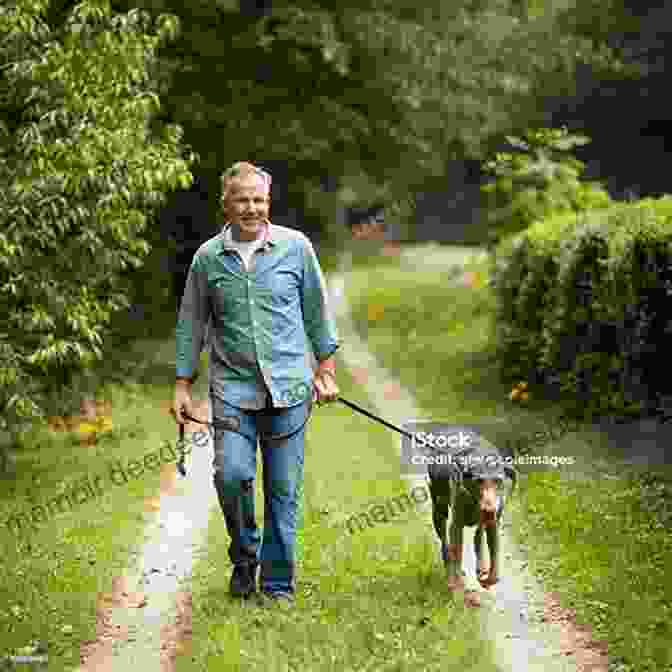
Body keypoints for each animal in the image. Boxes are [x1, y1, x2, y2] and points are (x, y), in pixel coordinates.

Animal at [428, 440, 516, 604]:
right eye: (478, 481)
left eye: (498, 481)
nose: (489, 510)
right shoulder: (456, 525)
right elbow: (456, 554)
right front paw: (457, 585)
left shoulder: (493, 524)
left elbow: (495, 571)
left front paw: (487, 578)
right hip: (438, 509)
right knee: (445, 542)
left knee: (478, 536)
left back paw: (481, 567)